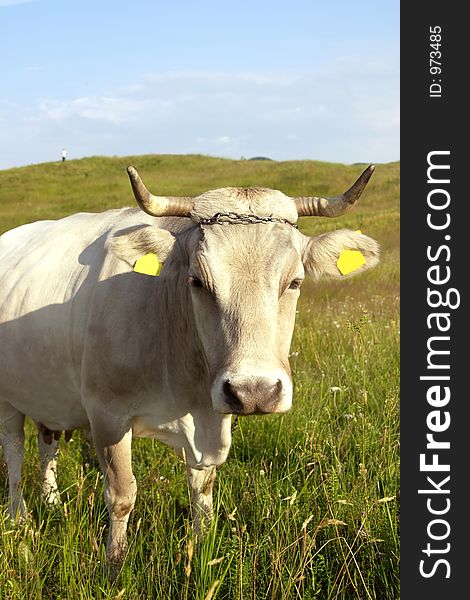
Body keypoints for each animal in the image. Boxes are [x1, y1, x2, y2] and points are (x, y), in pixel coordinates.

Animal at [0, 164, 380, 568]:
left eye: (294, 282)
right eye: (197, 281)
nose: (254, 392)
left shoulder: (209, 421)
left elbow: (202, 490)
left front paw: (203, 545)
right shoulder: (107, 415)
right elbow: (121, 495)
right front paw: (114, 564)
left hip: (47, 392)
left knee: (47, 443)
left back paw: (52, 502)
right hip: (7, 400)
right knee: (14, 453)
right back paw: (19, 518)